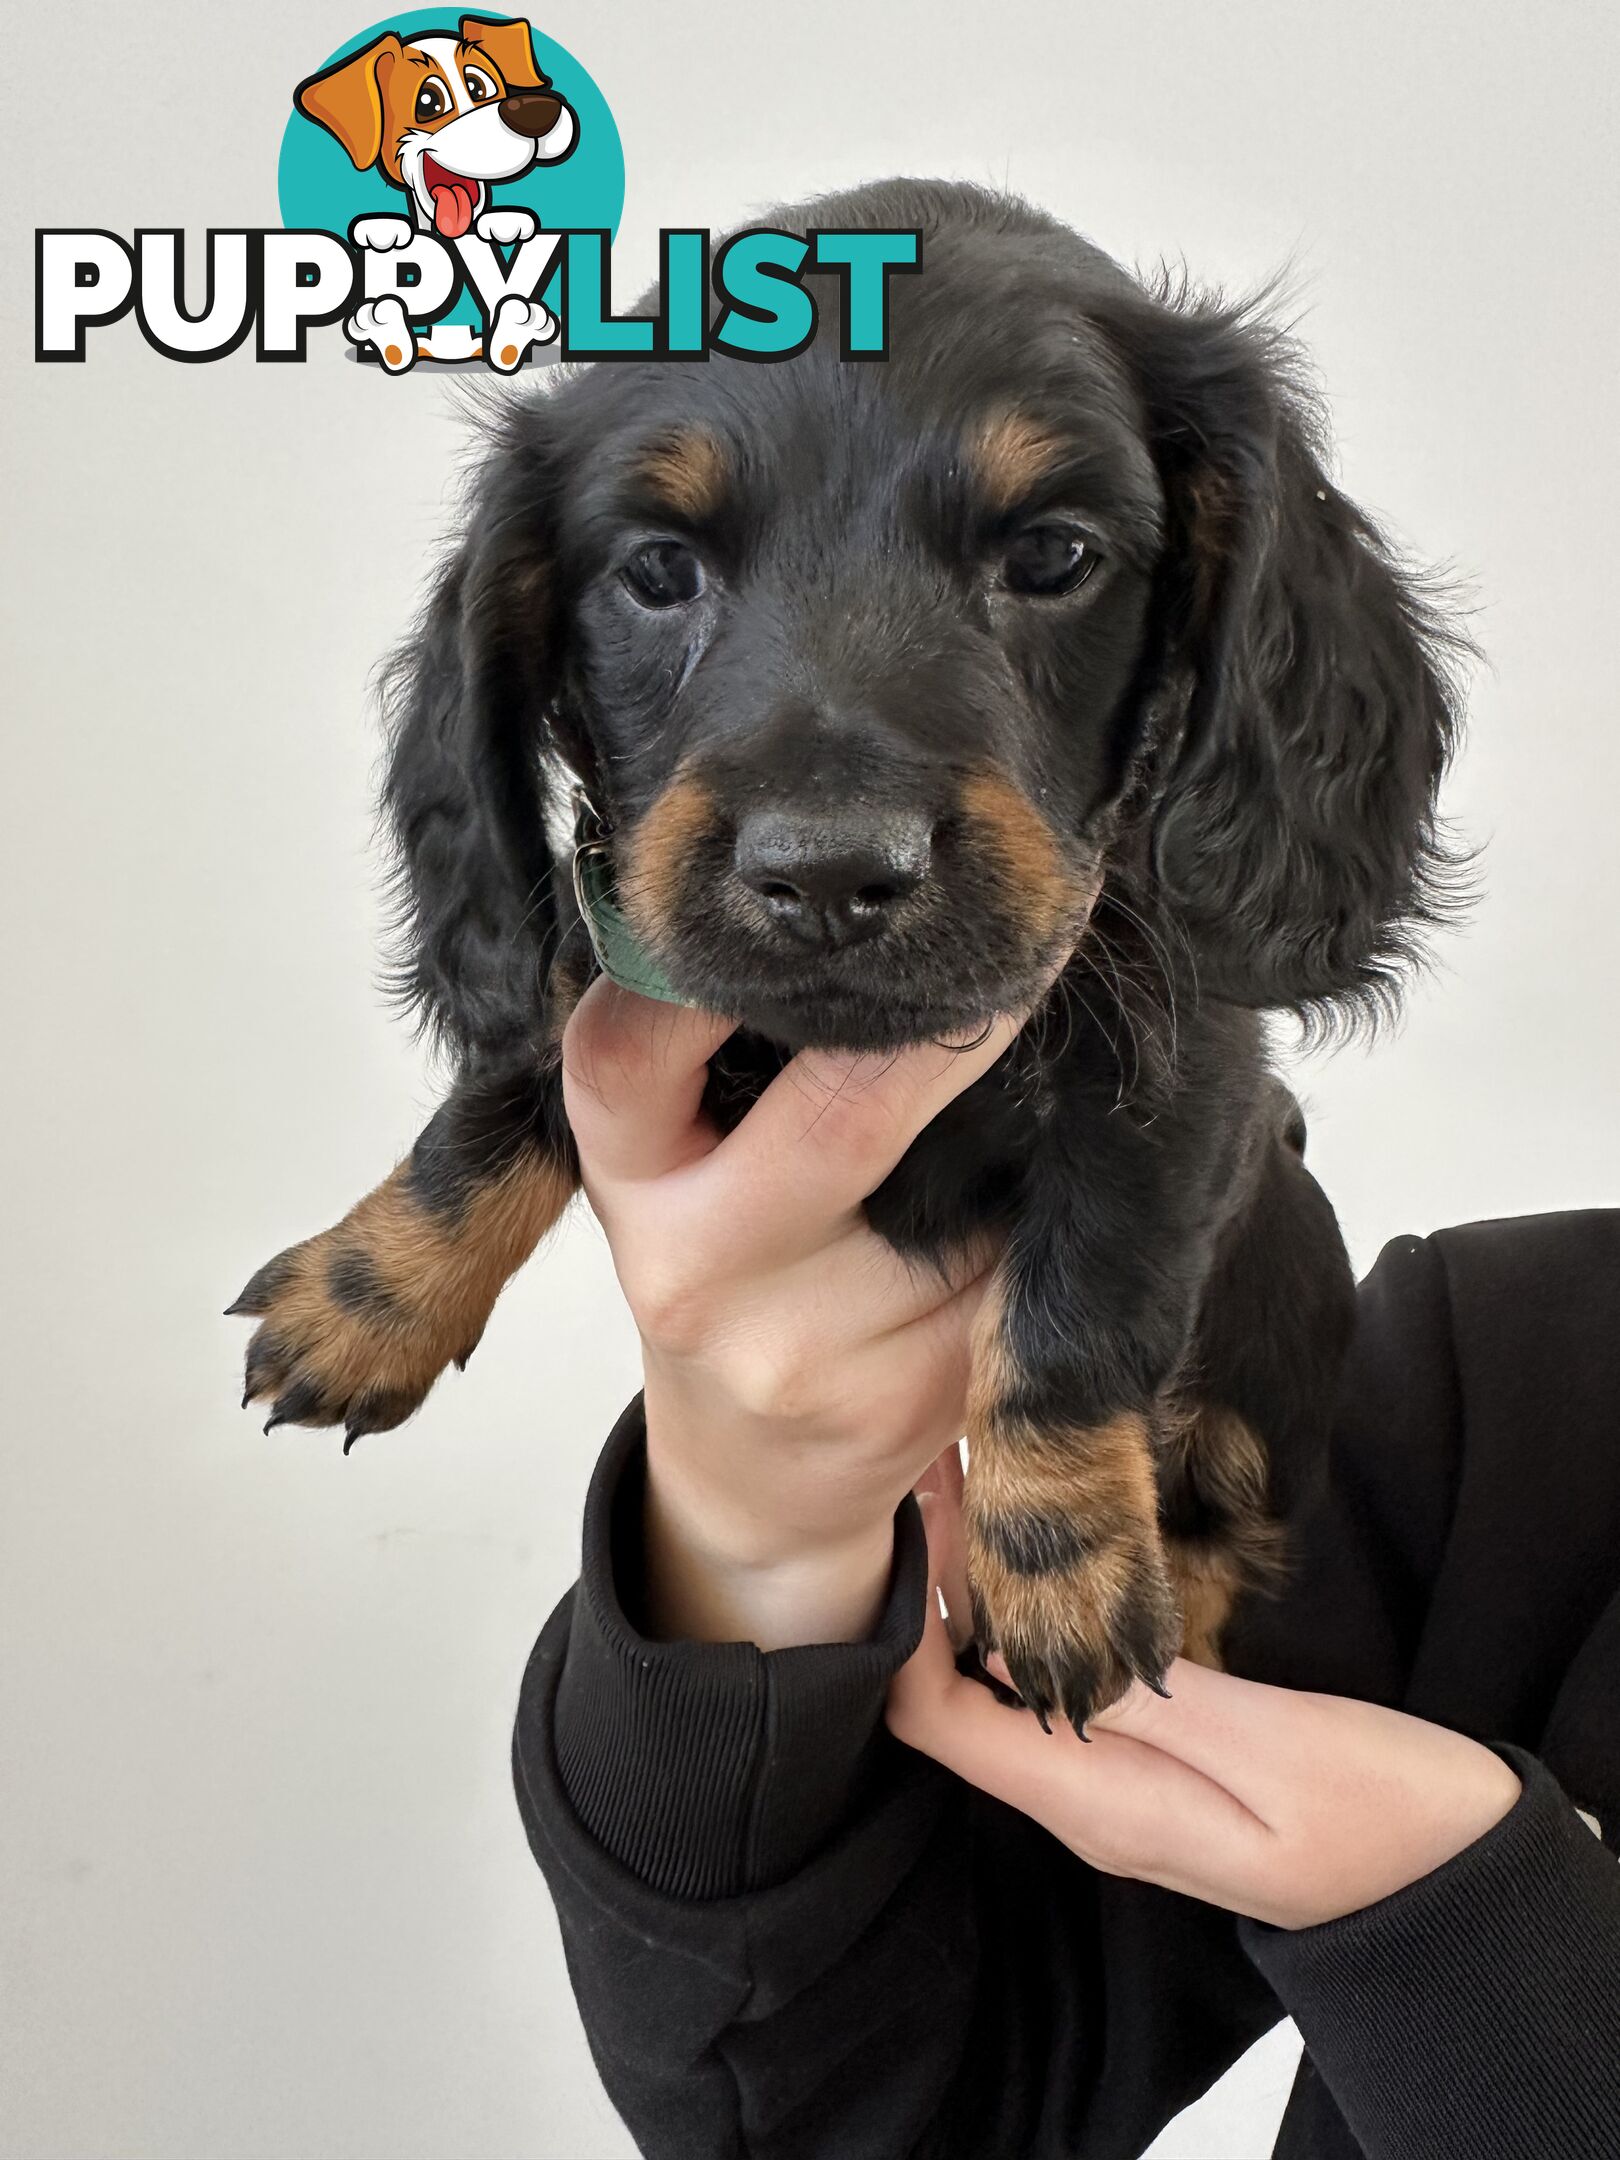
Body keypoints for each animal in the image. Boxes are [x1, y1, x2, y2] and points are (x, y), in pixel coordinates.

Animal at [231, 181, 1468, 1736]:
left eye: (1054, 555)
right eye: (656, 570)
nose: (827, 871)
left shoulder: (1188, 1083)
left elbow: (1087, 1290)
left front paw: (1059, 1564)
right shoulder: (617, 952)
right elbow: (515, 1085)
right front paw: (364, 1298)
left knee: (1226, 1530)